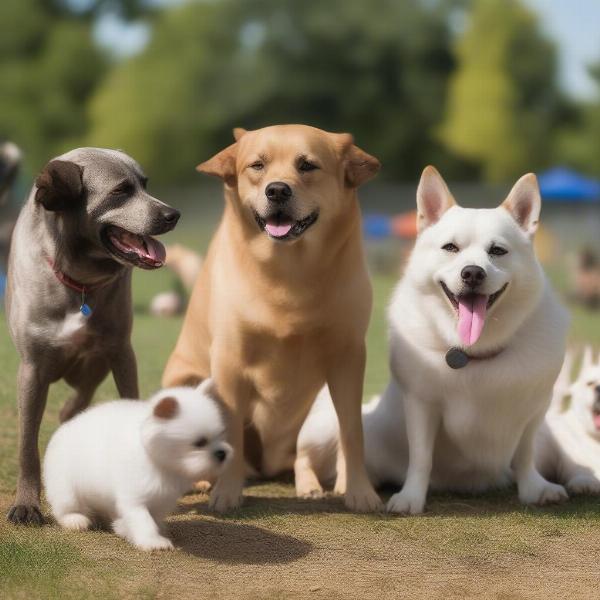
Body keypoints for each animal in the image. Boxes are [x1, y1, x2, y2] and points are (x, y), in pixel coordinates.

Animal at [5, 148, 179, 524]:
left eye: (144, 184)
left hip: (94, 366)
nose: (173, 214)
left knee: (76, 403)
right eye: (121, 190)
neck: (78, 281)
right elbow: (27, 445)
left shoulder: (121, 353)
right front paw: (26, 503)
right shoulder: (32, 369)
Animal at [43, 382, 231, 552]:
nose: (222, 453)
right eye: (199, 442)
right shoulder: (133, 498)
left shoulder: (162, 499)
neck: (158, 461)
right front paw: (153, 542)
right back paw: (76, 520)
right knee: (65, 508)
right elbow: (143, 520)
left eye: (221, 435)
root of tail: (62, 429)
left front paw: (135, 530)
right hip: (66, 490)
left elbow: (153, 518)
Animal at [162, 124, 382, 512]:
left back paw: (314, 485)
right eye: (257, 165)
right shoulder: (229, 358)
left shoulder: (349, 356)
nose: (277, 189)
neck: (289, 271)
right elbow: (230, 430)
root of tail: (264, 465)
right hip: (183, 381)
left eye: (307, 165)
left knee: (303, 457)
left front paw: (360, 491)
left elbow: (352, 430)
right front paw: (226, 493)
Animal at [298, 166, 568, 512]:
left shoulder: (535, 408)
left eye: (497, 251)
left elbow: (524, 453)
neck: (473, 352)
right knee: (319, 455)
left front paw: (534, 488)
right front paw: (411, 498)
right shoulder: (420, 404)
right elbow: (420, 458)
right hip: (328, 425)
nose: (472, 273)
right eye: (450, 248)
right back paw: (320, 487)